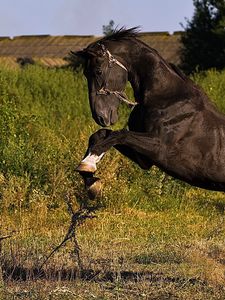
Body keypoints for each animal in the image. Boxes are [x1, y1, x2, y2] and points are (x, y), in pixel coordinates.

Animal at [74, 27, 225, 197]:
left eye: (98, 71)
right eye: (85, 73)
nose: (100, 116)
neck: (166, 97)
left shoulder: (159, 148)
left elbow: (120, 135)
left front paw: (88, 165)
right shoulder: (144, 159)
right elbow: (101, 135)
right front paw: (90, 178)